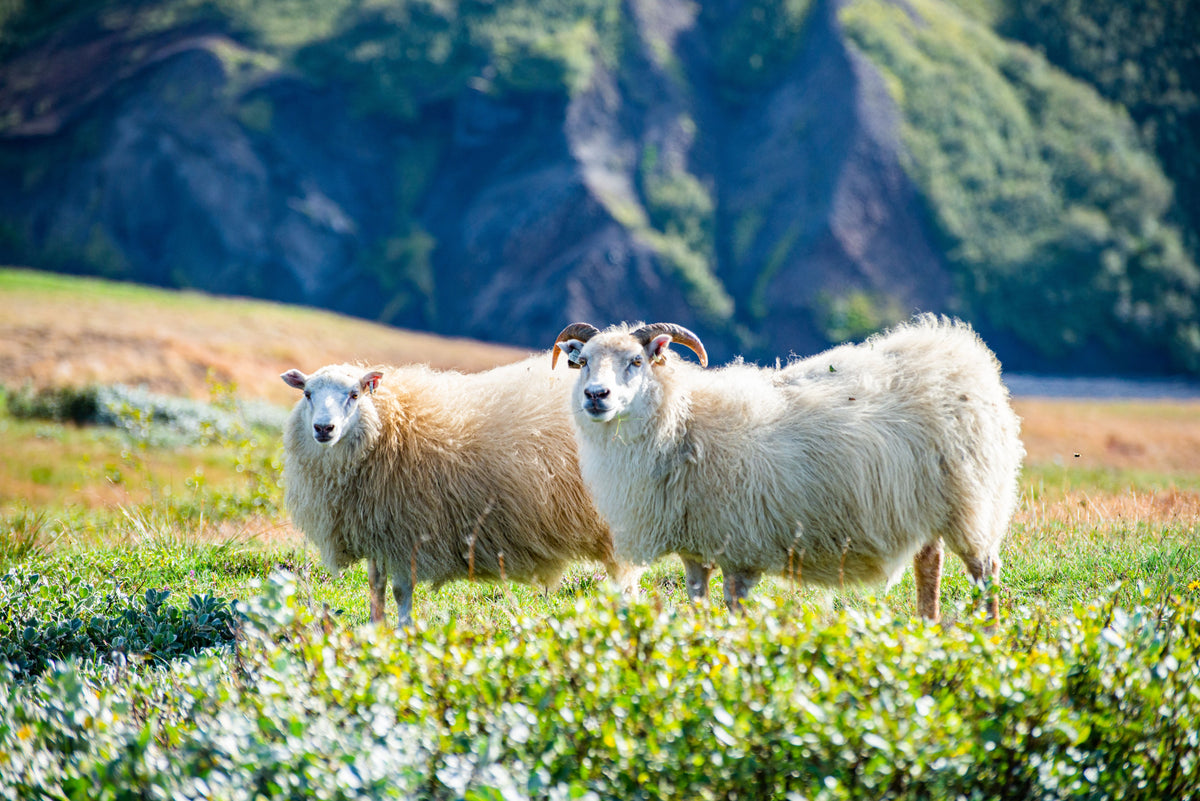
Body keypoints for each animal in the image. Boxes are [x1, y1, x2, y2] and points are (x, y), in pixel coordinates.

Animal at [280, 355, 641, 626]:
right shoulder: (377, 529)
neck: (391, 428)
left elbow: (401, 590)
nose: (323, 428)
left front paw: (403, 633)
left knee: (625, 578)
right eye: (307, 394)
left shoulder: (407, 531)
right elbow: (375, 588)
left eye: (354, 395)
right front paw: (375, 630)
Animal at [551, 315, 1024, 622]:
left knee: (986, 572)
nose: (596, 395)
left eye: (636, 361)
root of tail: (961, 355)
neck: (682, 419)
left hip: (972, 499)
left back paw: (988, 636)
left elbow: (734, 610)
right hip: (924, 503)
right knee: (930, 563)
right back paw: (927, 628)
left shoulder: (739, 546)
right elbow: (697, 603)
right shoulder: (696, 545)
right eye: (584, 361)